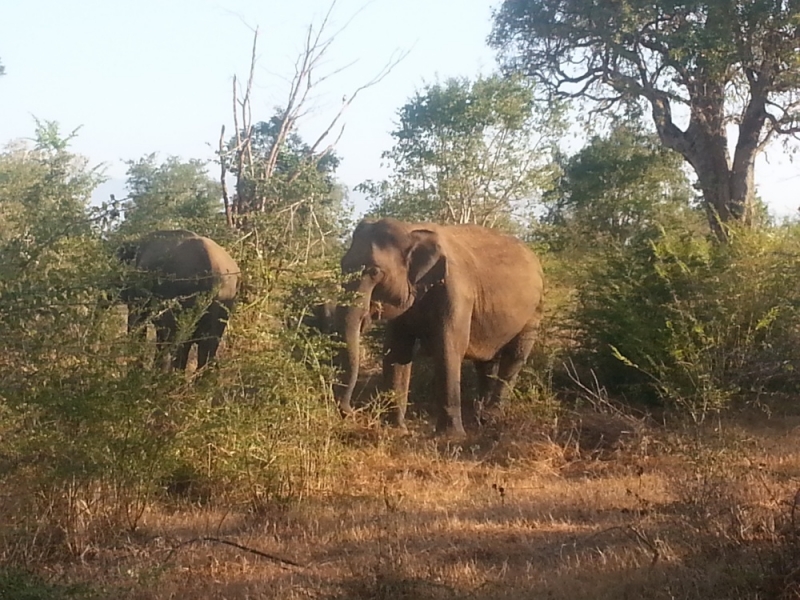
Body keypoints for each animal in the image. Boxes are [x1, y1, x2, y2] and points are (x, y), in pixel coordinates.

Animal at [334, 216, 548, 436]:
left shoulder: (456, 291)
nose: (351, 412)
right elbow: (398, 353)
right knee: (486, 363)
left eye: (375, 271)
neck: (411, 230)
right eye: (343, 265)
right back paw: (480, 419)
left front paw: (451, 437)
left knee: (514, 357)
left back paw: (493, 416)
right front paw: (397, 430)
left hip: (535, 310)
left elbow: (448, 349)